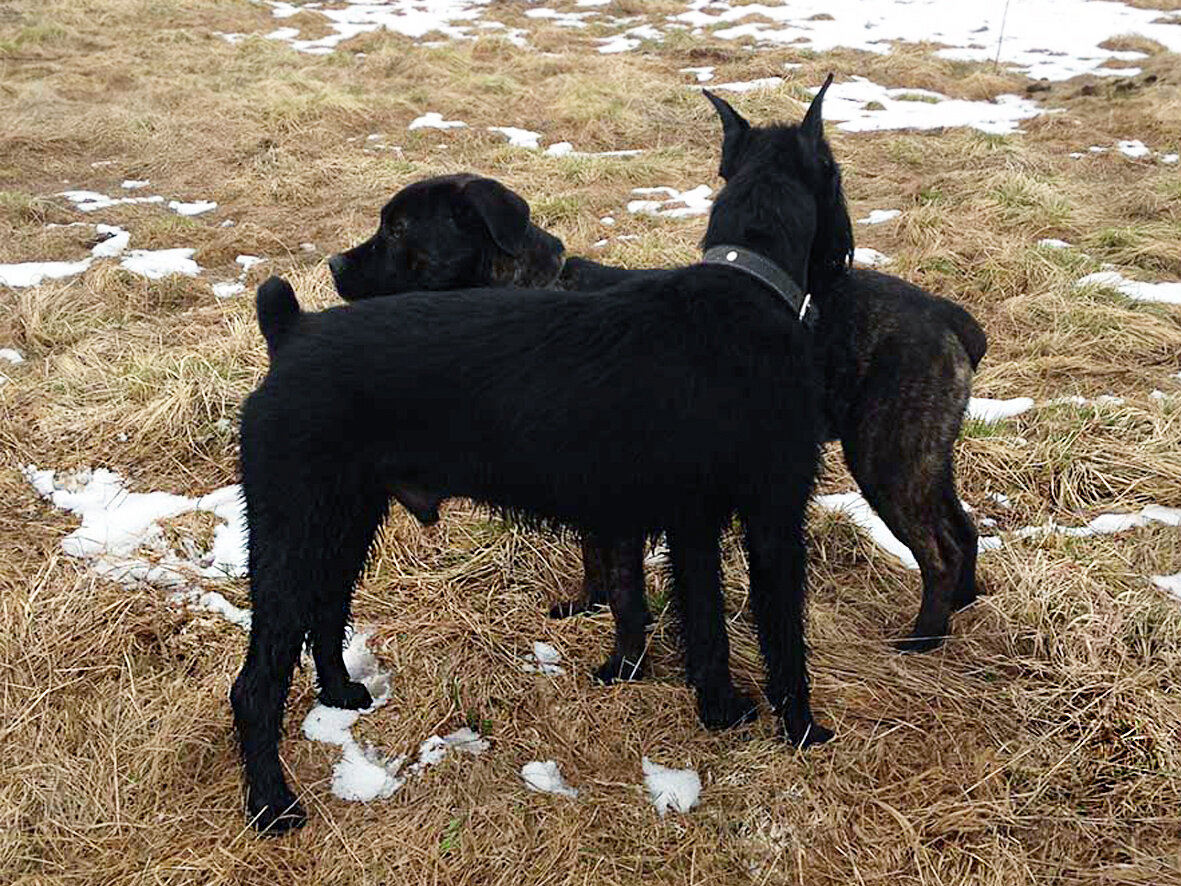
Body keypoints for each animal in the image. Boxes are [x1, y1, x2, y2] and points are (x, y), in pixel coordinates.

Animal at [235, 81, 855, 831]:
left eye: (400, 230)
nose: (846, 259)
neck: (747, 288)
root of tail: (290, 333)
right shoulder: (773, 518)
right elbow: (781, 635)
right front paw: (801, 729)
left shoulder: (687, 525)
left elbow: (693, 622)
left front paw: (714, 709)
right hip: (292, 534)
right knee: (255, 681)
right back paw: (271, 804)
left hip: (344, 522)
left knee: (325, 613)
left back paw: (341, 693)